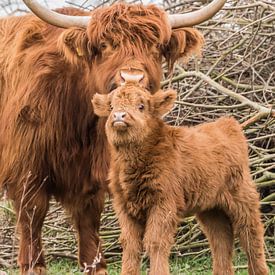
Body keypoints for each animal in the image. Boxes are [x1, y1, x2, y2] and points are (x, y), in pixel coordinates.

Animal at [0, 0, 226, 275]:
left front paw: (96, 264)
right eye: (106, 45)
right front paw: (33, 265)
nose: (132, 77)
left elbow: (89, 226)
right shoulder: (27, 171)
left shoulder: (91, 178)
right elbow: (32, 220)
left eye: (155, 47)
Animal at [92, 84, 270, 275]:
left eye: (141, 106)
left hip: (242, 196)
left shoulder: (164, 203)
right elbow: (130, 244)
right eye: (111, 106)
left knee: (250, 233)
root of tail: (227, 124)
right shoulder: (124, 206)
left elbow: (155, 242)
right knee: (220, 239)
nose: (119, 116)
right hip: (211, 207)